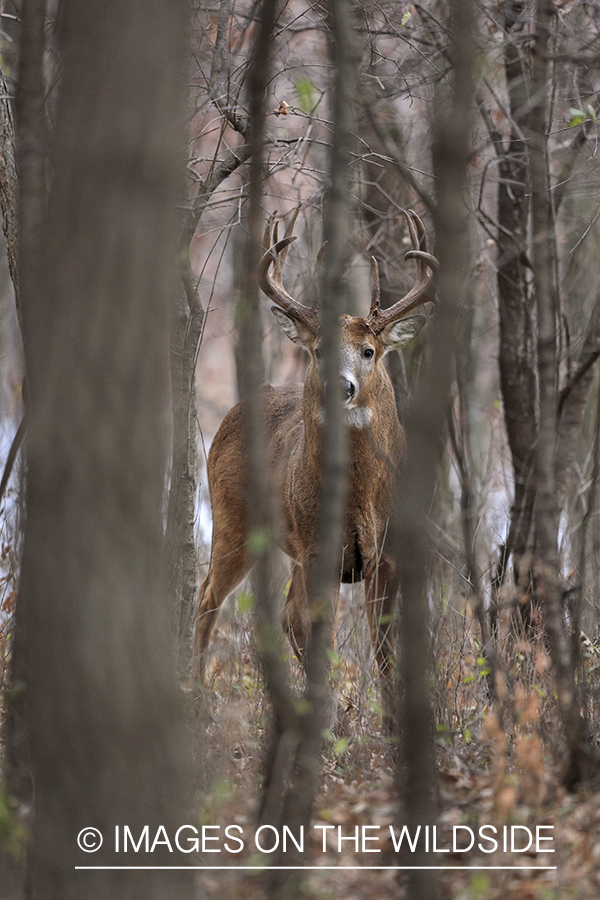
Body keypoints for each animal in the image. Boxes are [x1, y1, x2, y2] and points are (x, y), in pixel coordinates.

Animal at [197, 211, 436, 724]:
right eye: (320, 350)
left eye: (369, 351)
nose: (340, 387)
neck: (362, 498)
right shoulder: (317, 550)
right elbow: (318, 632)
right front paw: (327, 719)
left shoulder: (386, 552)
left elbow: (382, 642)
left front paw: (390, 723)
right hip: (233, 520)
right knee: (210, 597)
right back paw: (198, 691)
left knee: (285, 615)